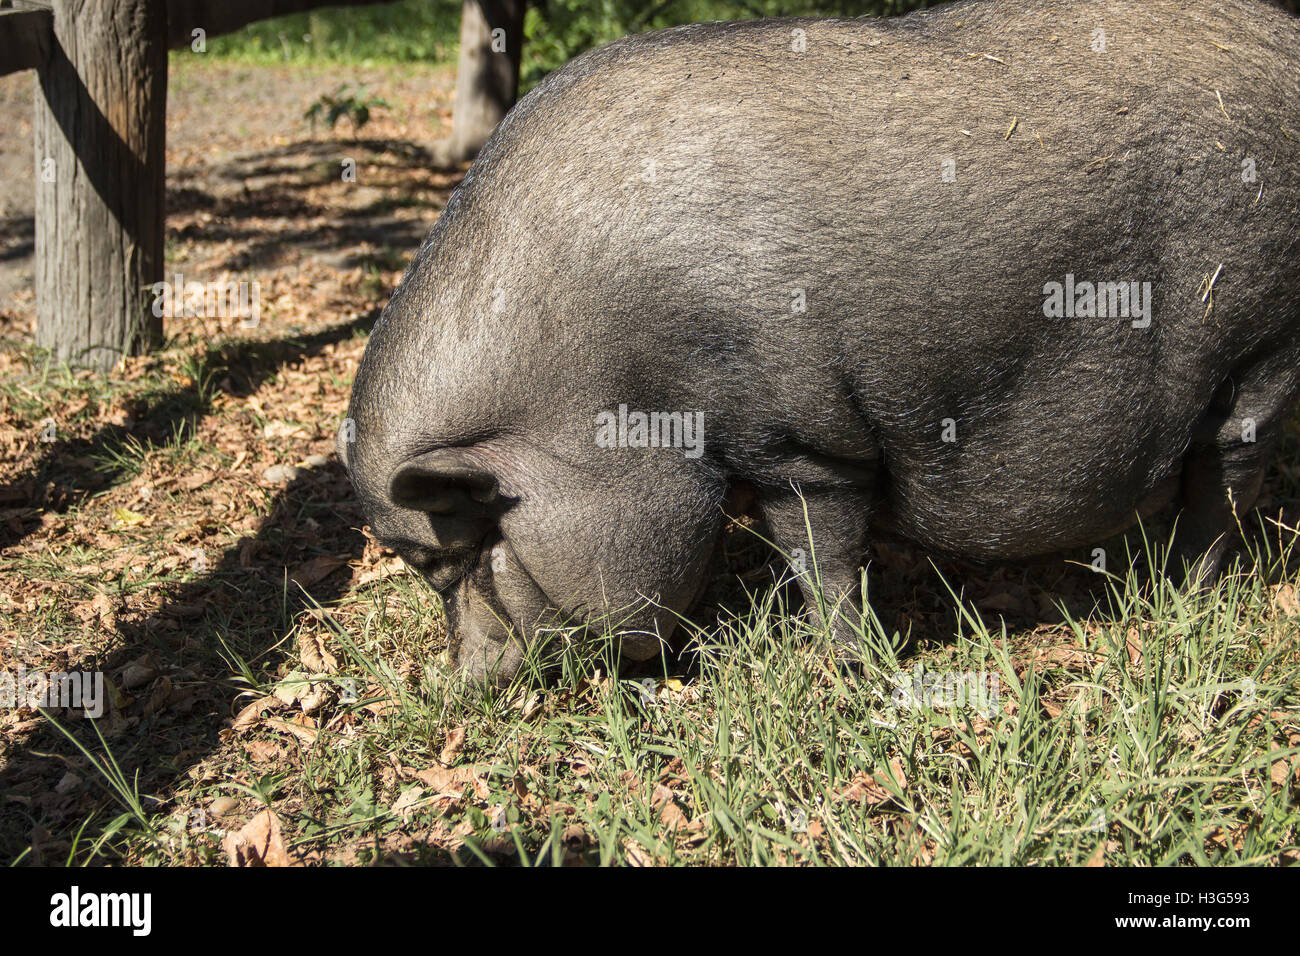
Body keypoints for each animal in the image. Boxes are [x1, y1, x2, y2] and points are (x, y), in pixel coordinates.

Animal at [343, 0, 1300, 686]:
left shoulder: (801, 440)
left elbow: (821, 554)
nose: (457, 687)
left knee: (1228, 472)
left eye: (452, 555)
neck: (607, 378)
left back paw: (1182, 593)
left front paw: (841, 667)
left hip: (1262, 343)